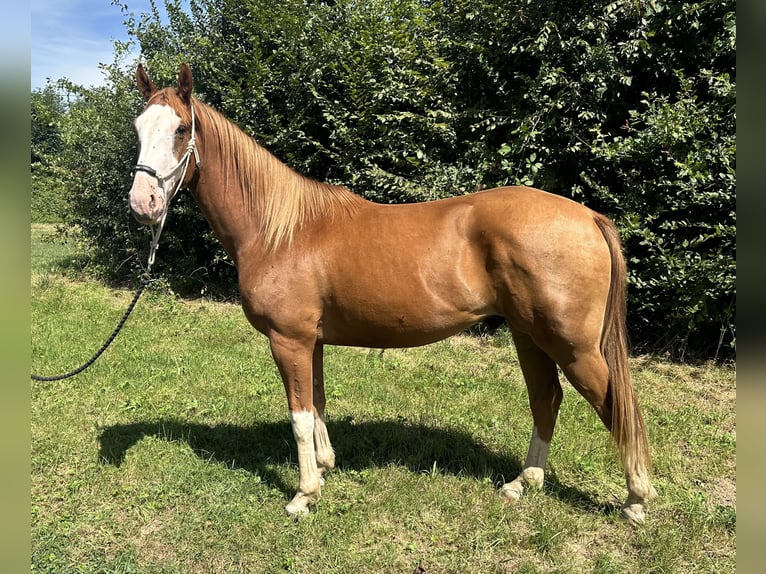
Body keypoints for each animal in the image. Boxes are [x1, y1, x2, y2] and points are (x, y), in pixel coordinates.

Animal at [129, 65, 656, 524]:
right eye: (138, 127)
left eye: (180, 129)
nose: (143, 203)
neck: (281, 231)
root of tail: (588, 216)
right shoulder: (312, 342)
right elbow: (317, 405)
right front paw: (325, 466)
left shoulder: (289, 340)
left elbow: (299, 416)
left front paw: (303, 496)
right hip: (530, 336)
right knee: (546, 399)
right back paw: (523, 483)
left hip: (573, 346)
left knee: (616, 404)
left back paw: (635, 499)